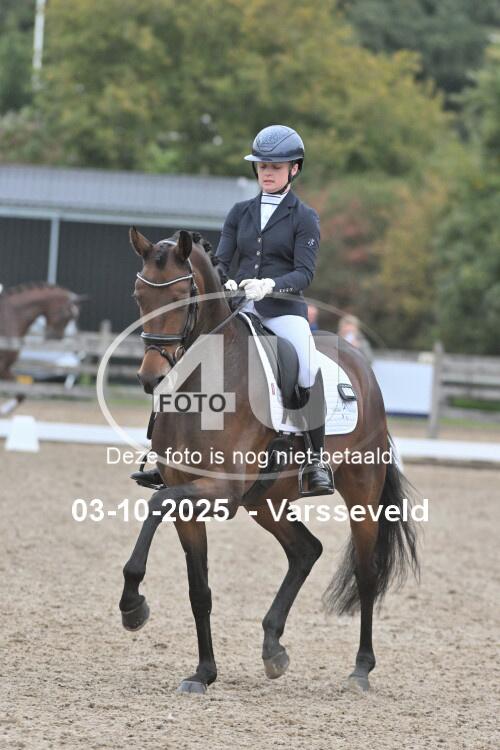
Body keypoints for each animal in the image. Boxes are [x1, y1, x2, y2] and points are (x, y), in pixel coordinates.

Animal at [119, 227, 419, 694]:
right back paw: (273, 647)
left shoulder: (220, 493)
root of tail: (362, 366)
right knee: (305, 550)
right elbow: (199, 590)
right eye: (139, 295)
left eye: (184, 296)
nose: (152, 378)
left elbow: (155, 503)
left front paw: (133, 606)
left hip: (362, 491)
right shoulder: (191, 501)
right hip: (266, 500)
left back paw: (360, 670)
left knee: (366, 573)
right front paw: (203, 673)